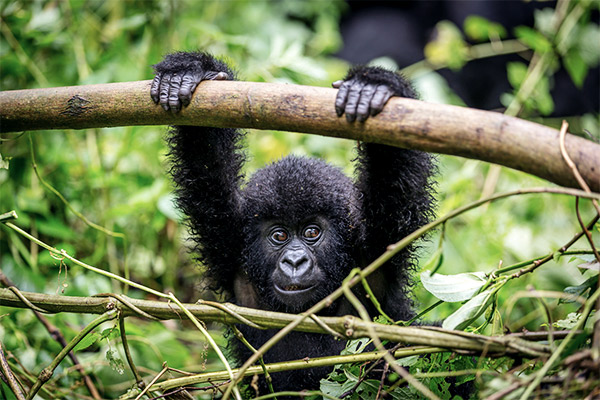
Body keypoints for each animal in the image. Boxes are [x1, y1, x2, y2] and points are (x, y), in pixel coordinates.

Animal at [152, 51, 434, 392]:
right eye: (279, 236)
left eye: (312, 232)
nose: (295, 261)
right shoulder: (228, 242)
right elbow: (205, 164)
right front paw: (189, 72)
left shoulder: (378, 248)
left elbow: (395, 177)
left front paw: (374, 86)